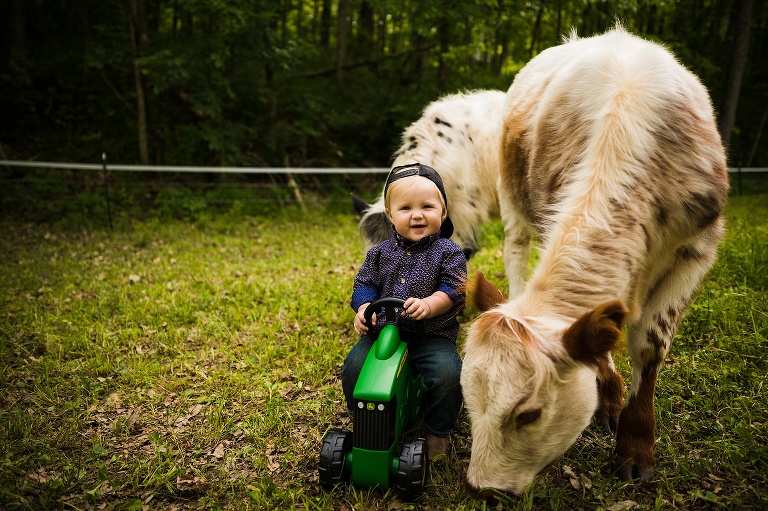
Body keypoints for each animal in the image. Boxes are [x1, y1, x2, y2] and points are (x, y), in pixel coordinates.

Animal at [460, 26, 729, 499]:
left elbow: (650, 344)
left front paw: (635, 447)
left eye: (528, 413)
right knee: (516, 253)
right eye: (469, 402)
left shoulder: (699, 248)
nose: (482, 489)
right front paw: (607, 400)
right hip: (512, 200)